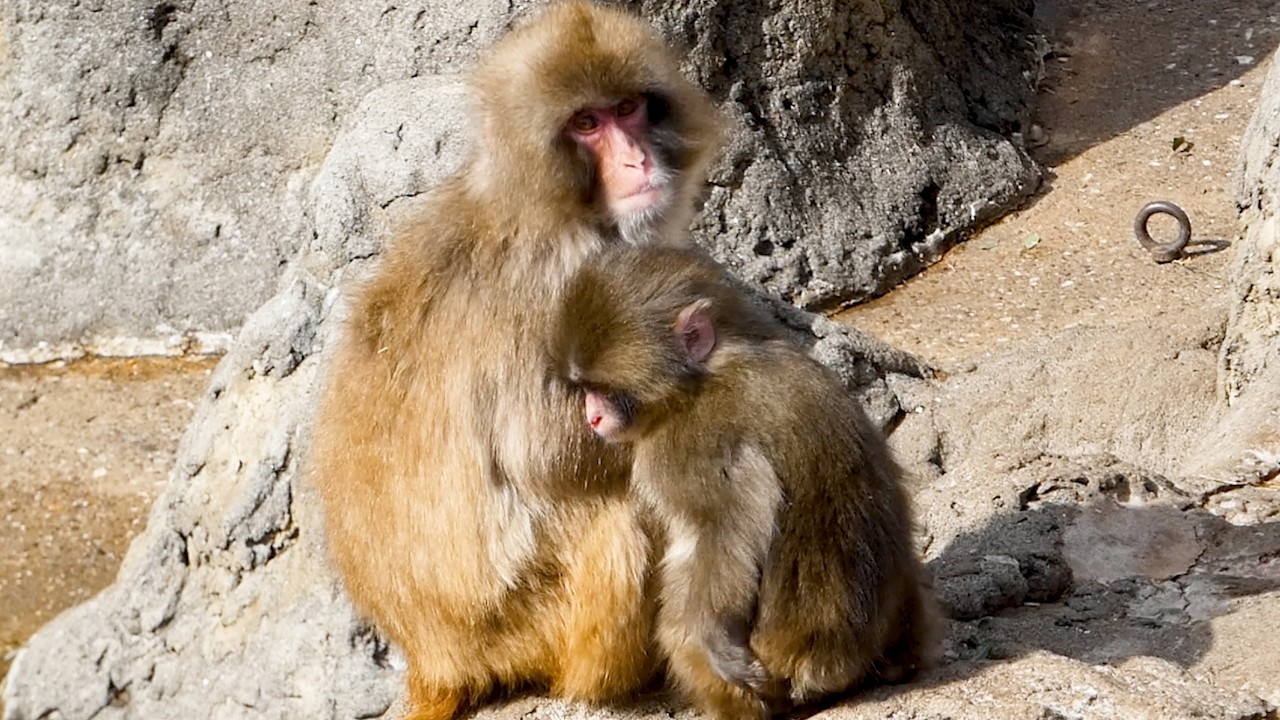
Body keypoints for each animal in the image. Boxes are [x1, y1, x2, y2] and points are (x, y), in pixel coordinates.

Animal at [308, 3, 722, 719]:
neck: (545, 204)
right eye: (587, 124)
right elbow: (548, 451)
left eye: (629, 108)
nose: (637, 158)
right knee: (620, 518)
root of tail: (435, 657)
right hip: (537, 621)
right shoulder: (567, 282)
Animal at [552, 243, 937, 720]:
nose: (592, 417)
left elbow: (722, 526)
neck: (706, 373)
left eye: (603, 389)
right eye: (584, 389)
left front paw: (715, 638)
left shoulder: (684, 445)